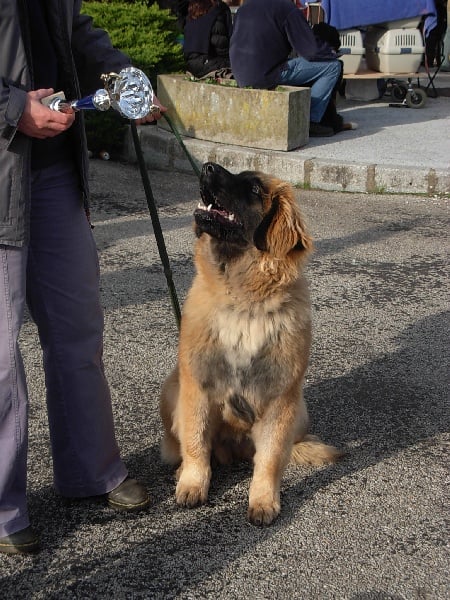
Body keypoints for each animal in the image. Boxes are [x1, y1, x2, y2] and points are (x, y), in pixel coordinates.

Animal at [160, 162, 340, 524]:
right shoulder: (196, 388)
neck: (244, 303)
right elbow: (196, 443)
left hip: (299, 409)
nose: (207, 166)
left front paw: (263, 500)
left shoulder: (280, 399)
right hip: (171, 390)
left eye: (255, 189)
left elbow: (269, 459)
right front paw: (192, 483)